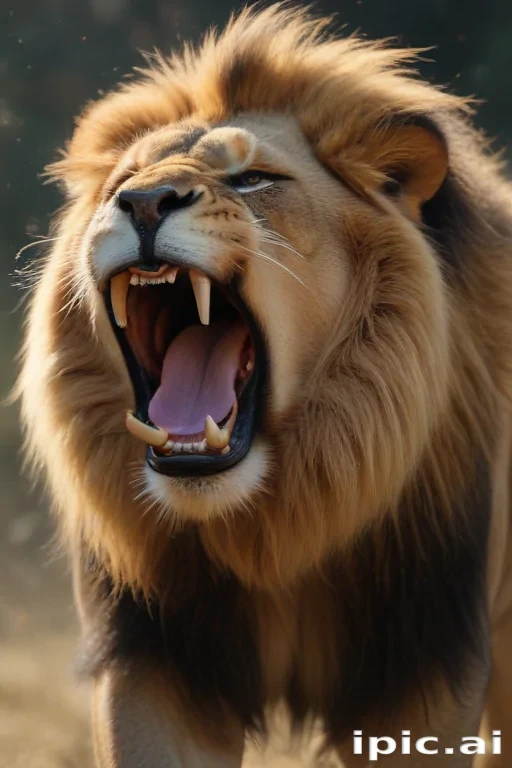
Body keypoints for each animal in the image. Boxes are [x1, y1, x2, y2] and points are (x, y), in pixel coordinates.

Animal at [17, 5, 512, 767]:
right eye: (122, 180)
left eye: (252, 180)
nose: (144, 202)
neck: (274, 527)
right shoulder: (156, 667)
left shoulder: (421, 666)